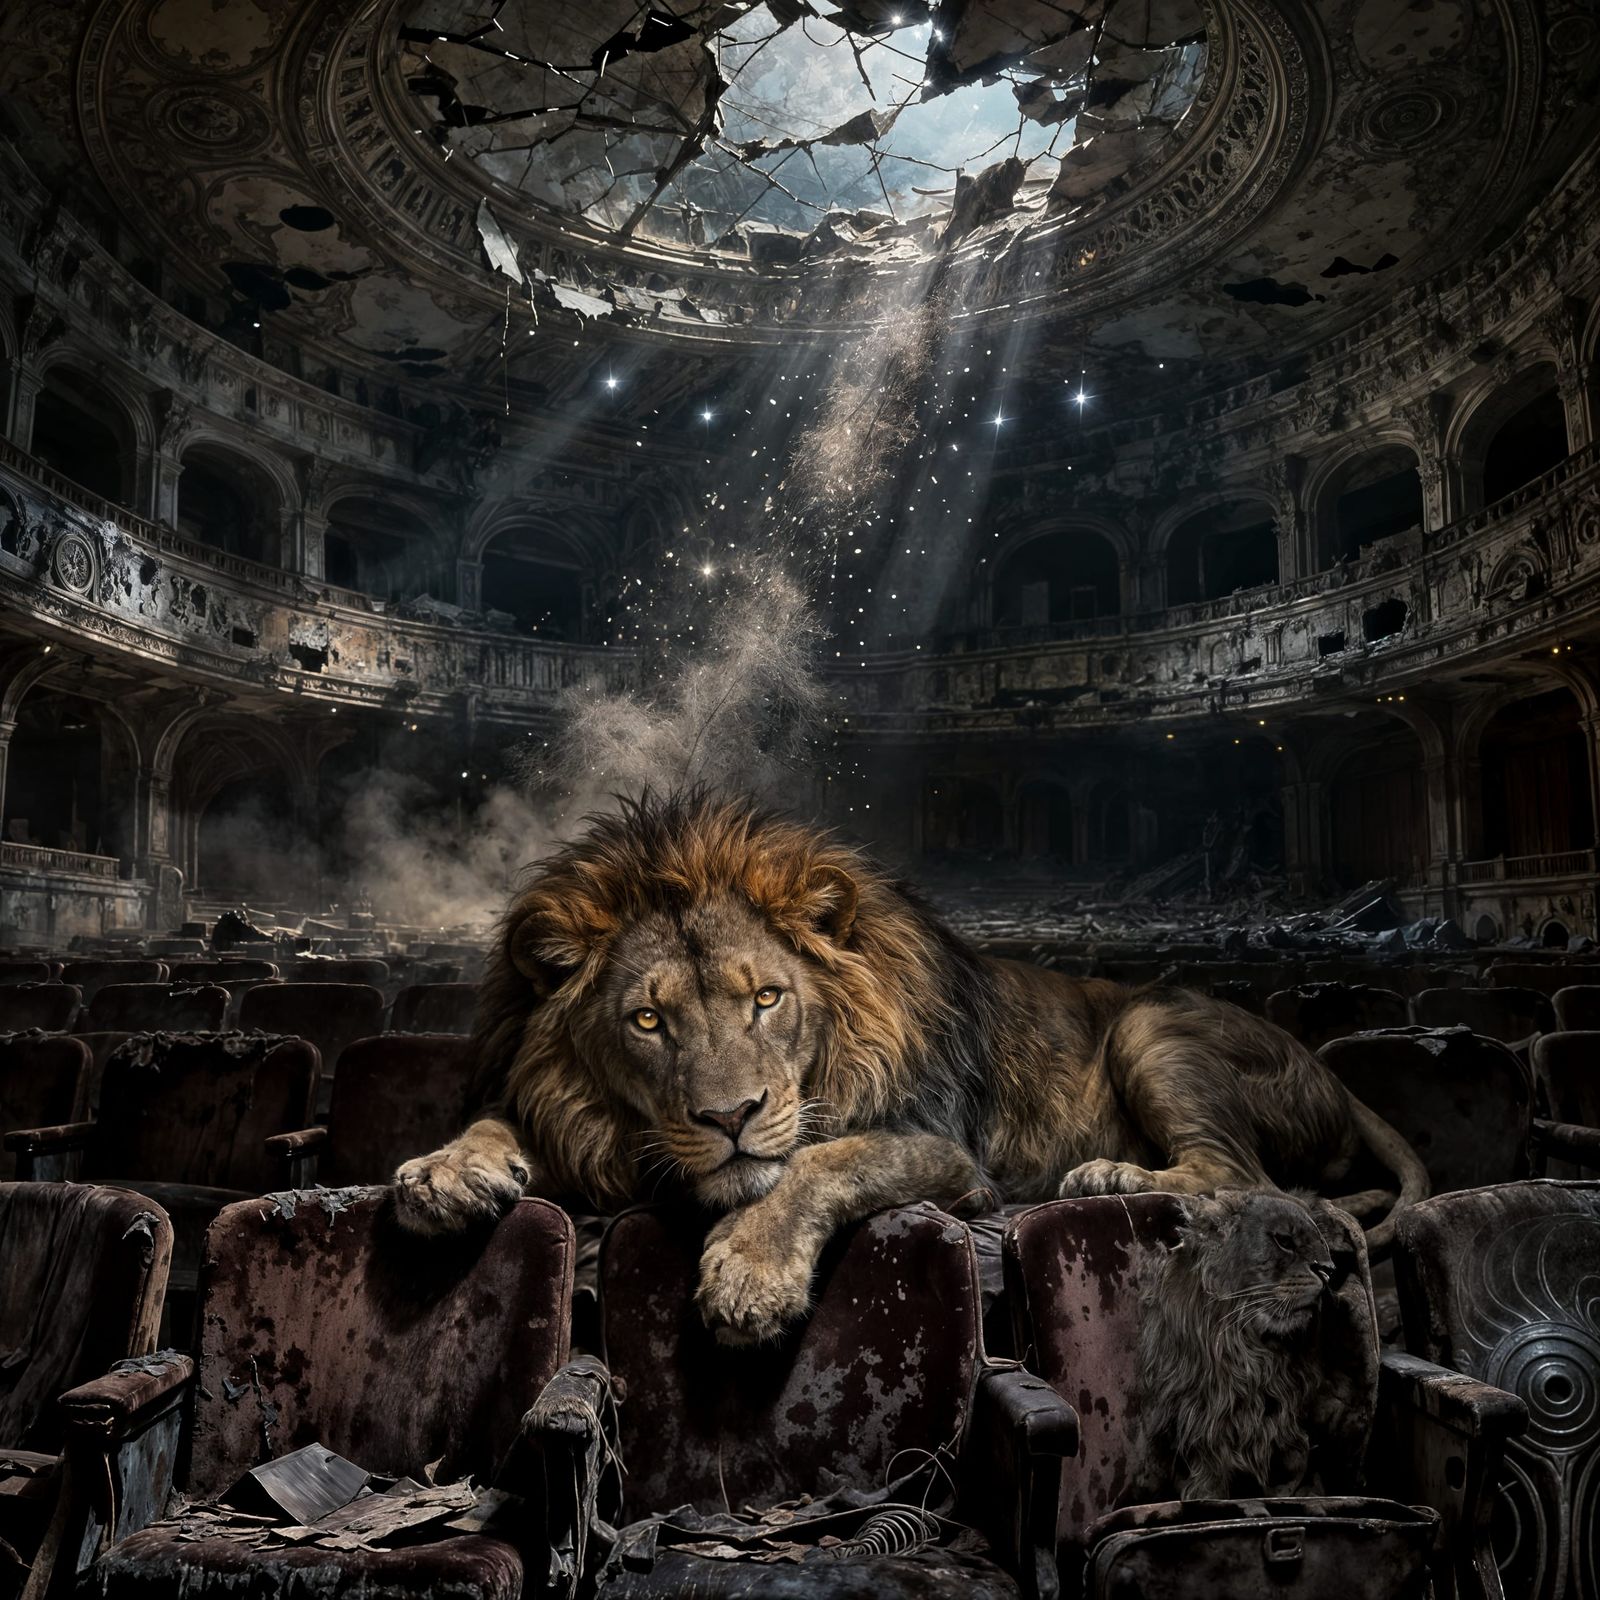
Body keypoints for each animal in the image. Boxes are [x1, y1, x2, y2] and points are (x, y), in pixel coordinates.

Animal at [393, 791, 1427, 1344]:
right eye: (648, 1020)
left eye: (767, 998)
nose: (731, 1117)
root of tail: (1336, 1079)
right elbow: (502, 1121)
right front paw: (444, 1173)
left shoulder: (947, 1153)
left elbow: (822, 1158)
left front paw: (751, 1269)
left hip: (1152, 1023)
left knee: (1242, 1174)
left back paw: (1110, 1175)